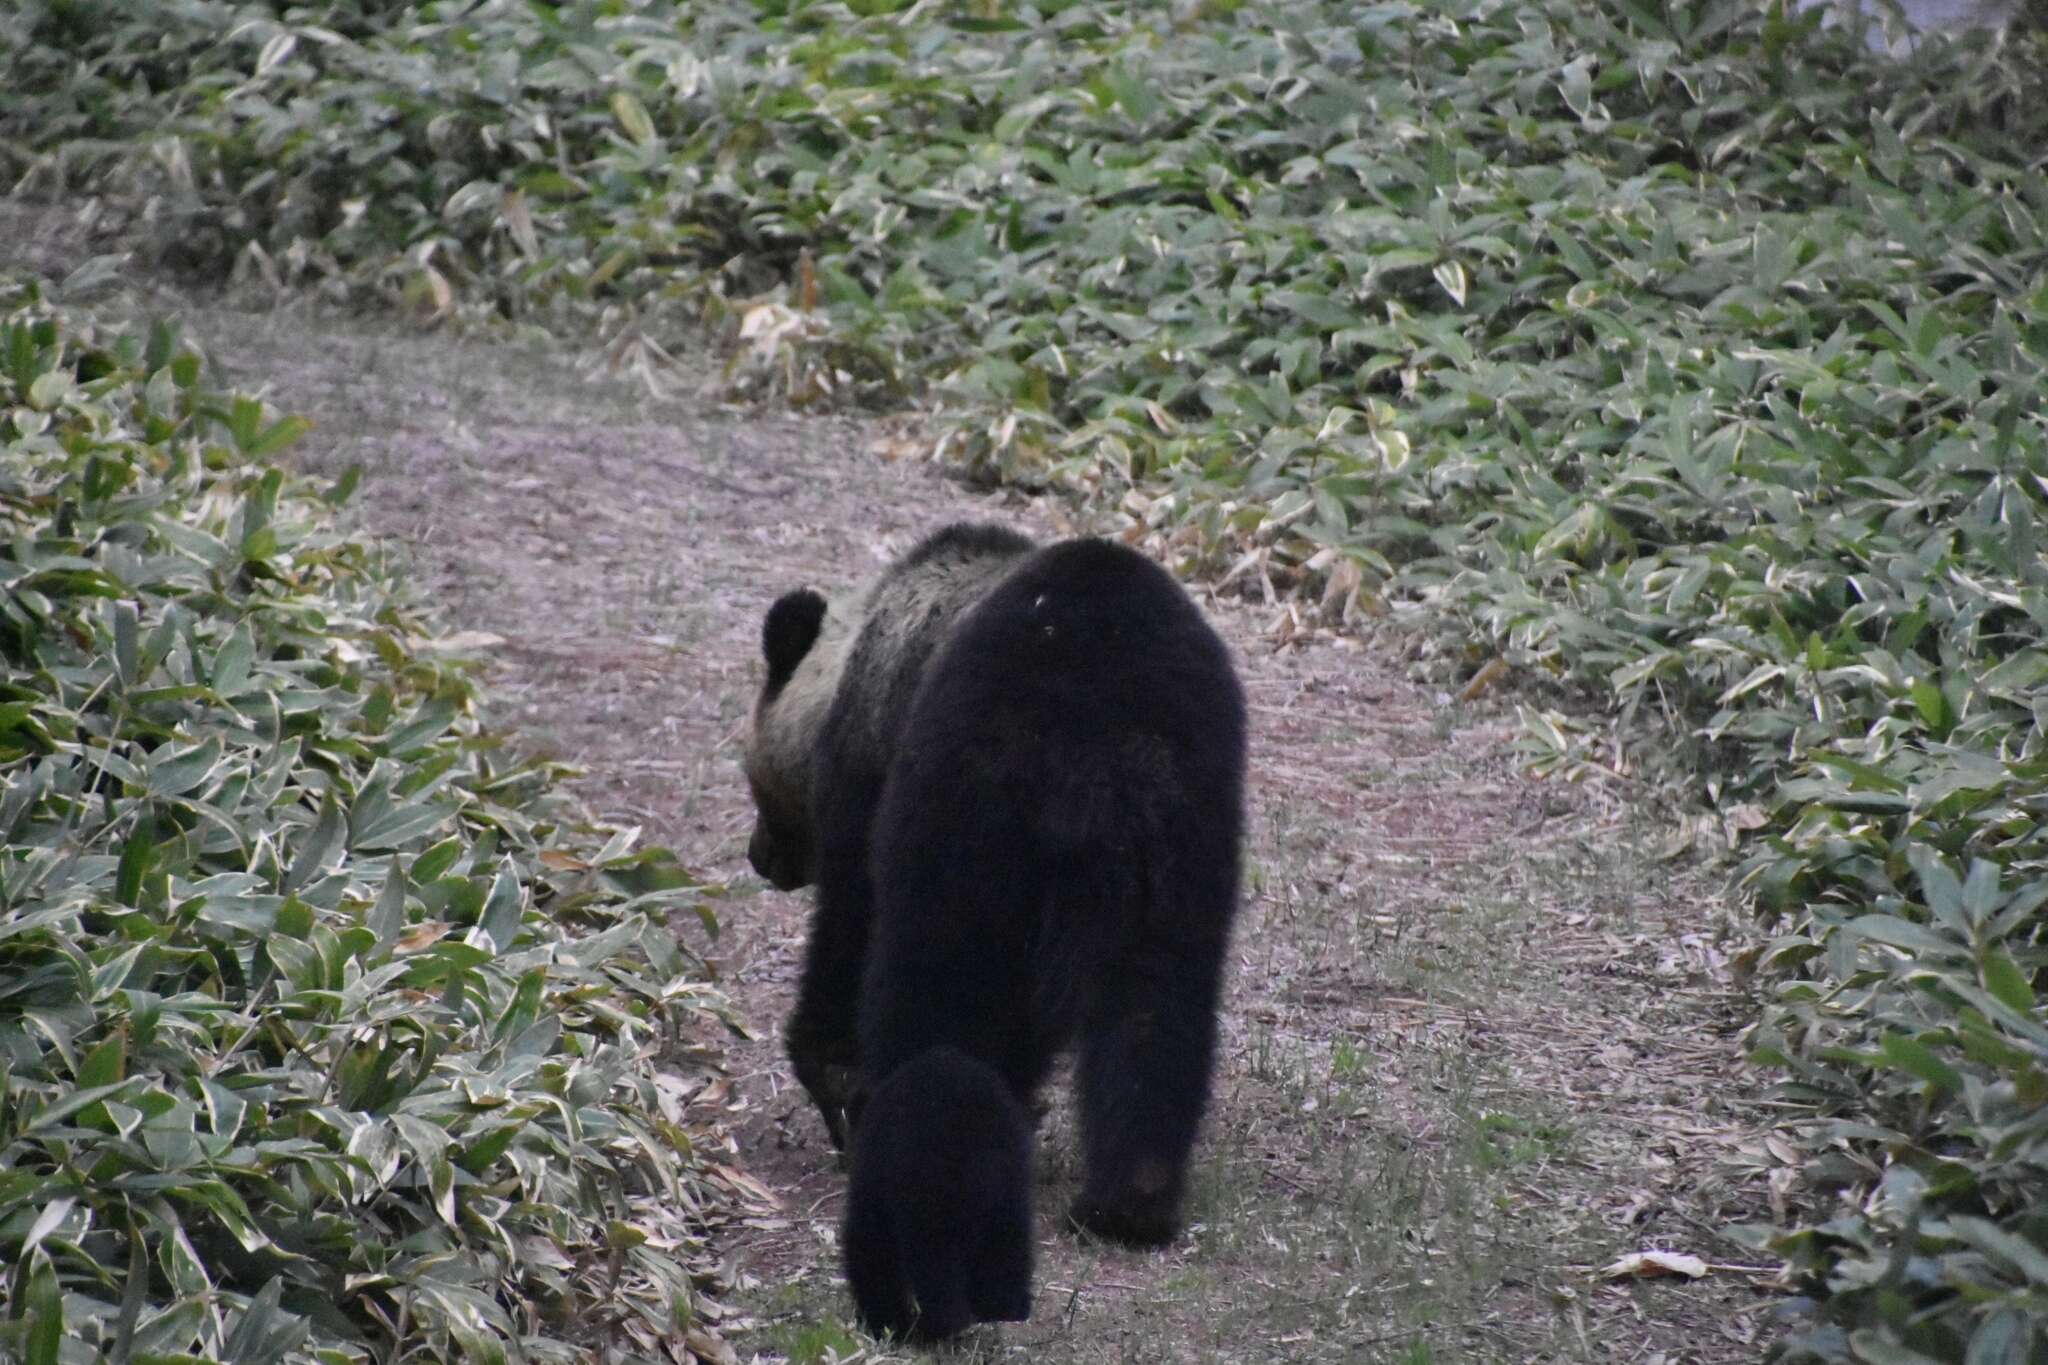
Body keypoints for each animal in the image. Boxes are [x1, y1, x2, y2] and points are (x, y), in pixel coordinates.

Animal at [839, 1047, 1032, 1342]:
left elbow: (869, 1250)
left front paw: (884, 1324)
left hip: (928, 1205)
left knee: (935, 1267)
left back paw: (941, 1324)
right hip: (1008, 1197)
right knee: (1008, 1251)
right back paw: (1004, 1308)